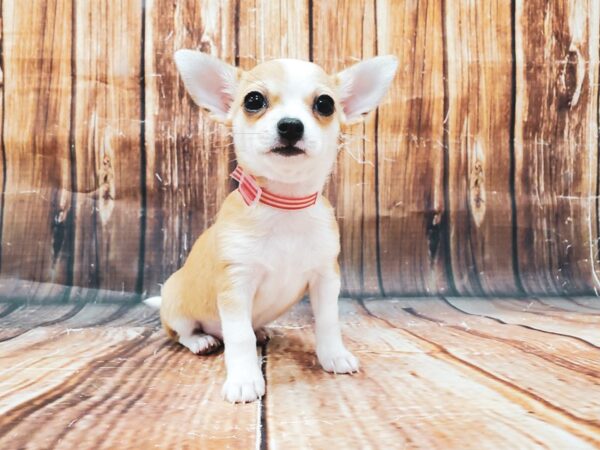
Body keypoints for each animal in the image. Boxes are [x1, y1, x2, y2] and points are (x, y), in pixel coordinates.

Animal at [145, 51, 398, 402]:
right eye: (253, 100)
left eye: (325, 104)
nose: (290, 125)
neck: (284, 206)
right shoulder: (236, 285)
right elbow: (239, 337)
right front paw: (244, 380)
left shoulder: (325, 278)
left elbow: (328, 321)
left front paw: (334, 355)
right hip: (177, 305)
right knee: (181, 332)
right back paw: (201, 340)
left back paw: (260, 330)